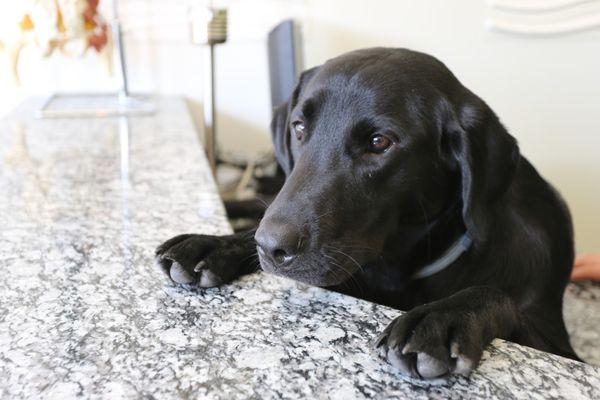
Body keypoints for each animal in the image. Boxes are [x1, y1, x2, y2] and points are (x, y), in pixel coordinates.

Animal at [157, 48, 580, 380]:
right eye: (299, 127)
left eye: (380, 143)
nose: (271, 247)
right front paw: (214, 245)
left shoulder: (554, 339)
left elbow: (498, 295)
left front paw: (441, 318)